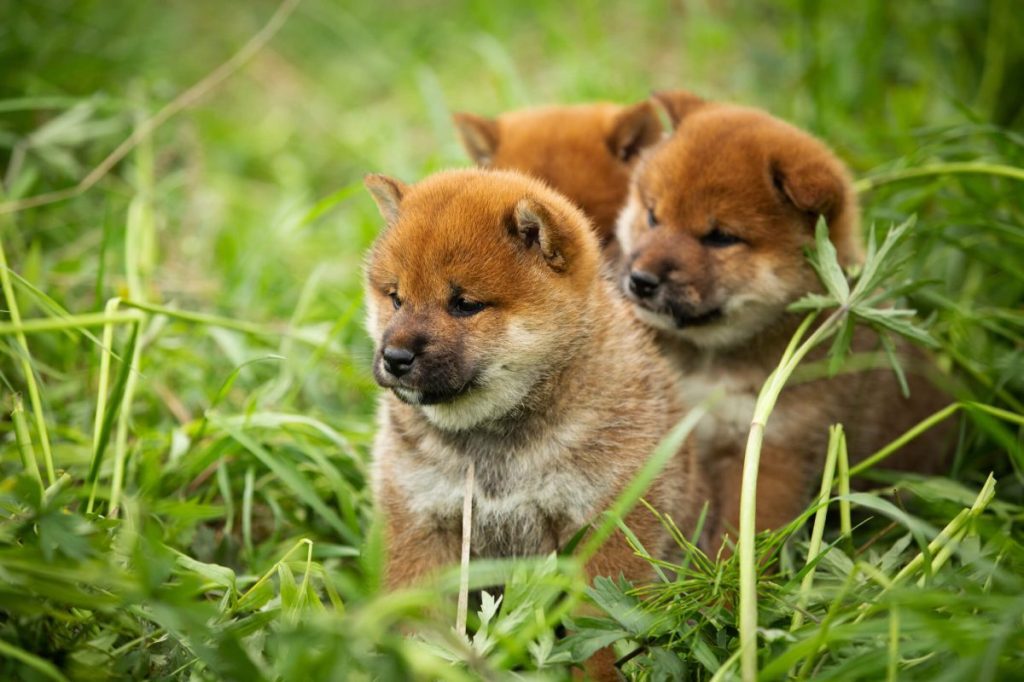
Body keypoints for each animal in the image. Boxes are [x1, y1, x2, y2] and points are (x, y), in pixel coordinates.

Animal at [364, 166, 708, 675]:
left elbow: (598, 638)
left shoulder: (605, 526)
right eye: (396, 298)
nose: (395, 356)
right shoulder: (421, 522)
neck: (495, 443)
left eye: (464, 304)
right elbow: (418, 626)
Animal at [614, 91, 950, 548]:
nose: (641, 279)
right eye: (652, 216)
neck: (712, 360)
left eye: (720, 237)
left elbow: (746, 530)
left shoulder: (774, 450)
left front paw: (730, 569)